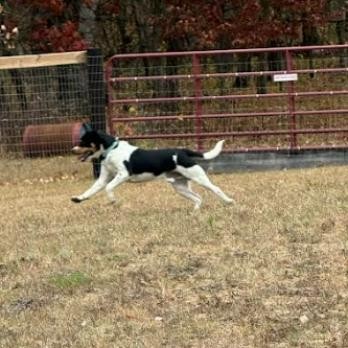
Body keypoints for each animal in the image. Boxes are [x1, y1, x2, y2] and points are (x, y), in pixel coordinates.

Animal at [70, 124, 234, 209]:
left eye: (83, 141)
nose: (72, 150)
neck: (111, 149)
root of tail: (182, 151)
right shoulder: (103, 178)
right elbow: (91, 190)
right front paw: (79, 198)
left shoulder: (123, 174)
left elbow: (109, 188)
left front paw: (112, 200)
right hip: (180, 187)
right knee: (198, 198)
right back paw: (195, 211)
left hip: (199, 178)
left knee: (216, 189)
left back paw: (229, 201)